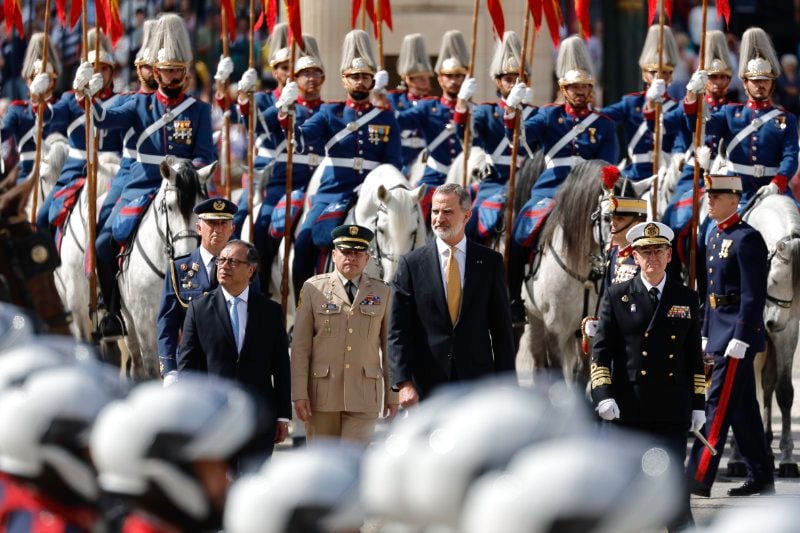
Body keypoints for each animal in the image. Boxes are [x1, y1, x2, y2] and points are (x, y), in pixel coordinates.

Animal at [117, 159, 214, 378]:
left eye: (199, 209)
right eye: (169, 207)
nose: (185, 255)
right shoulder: (144, 323)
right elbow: (153, 367)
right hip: (127, 320)